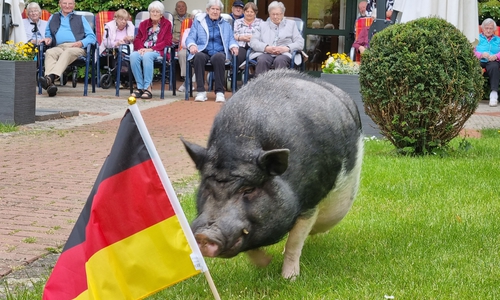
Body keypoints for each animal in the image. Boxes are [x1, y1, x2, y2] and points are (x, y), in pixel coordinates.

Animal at [182, 68, 362, 278]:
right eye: (207, 186)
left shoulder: (310, 200)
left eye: (248, 189)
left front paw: (289, 278)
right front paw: (265, 263)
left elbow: (294, 241)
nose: (204, 235)